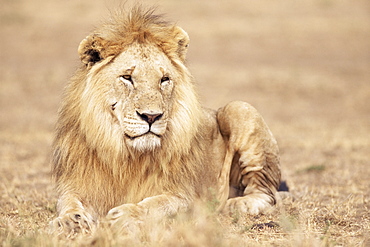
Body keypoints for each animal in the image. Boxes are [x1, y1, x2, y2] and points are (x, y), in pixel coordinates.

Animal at [51, 6, 280, 236]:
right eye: (127, 77)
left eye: (164, 79)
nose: (151, 116)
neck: (127, 157)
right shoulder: (78, 183)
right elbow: (68, 201)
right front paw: (69, 221)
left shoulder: (186, 196)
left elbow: (158, 205)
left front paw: (127, 215)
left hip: (240, 109)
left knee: (267, 193)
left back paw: (238, 203)